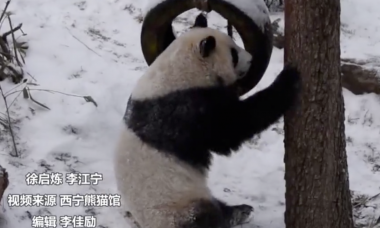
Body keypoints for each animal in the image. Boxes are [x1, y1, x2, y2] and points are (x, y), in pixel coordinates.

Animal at [114, 13, 302, 228]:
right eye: (233, 54)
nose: (251, 59)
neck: (180, 67)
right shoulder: (187, 109)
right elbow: (231, 129)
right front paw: (288, 79)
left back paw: (241, 210)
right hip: (178, 206)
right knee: (206, 217)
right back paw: (232, 215)